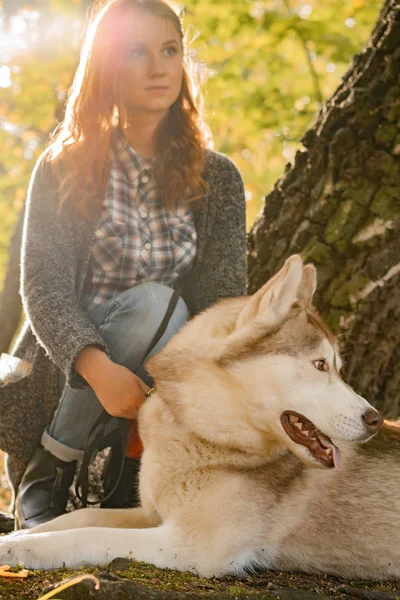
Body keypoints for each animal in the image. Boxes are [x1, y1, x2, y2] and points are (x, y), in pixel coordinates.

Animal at [1, 255, 398, 580]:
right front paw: (16, 533)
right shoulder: (151, 514)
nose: (375, 418)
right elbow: (79, 517)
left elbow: (85, 536)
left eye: (338, 369)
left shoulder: (191, 544)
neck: (199, 432)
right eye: (320, 365)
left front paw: (15, 549)